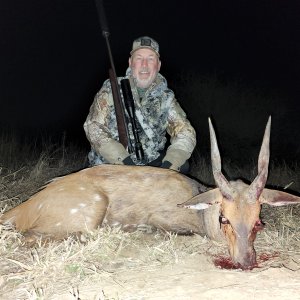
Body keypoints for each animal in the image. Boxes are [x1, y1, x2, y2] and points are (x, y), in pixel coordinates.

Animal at [0, 117, 300, 270]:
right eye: (224, 219)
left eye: (258, 222)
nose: (246, 262)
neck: (200, 213)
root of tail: (23, 207)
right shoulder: (163, 220)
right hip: (91, 209)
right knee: (31, 237)